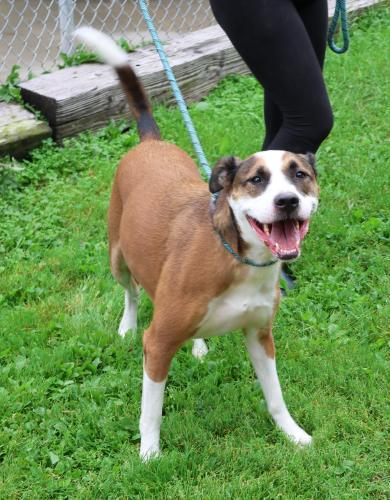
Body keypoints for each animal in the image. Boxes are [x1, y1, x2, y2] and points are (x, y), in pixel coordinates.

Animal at [74, 26, 320, 458]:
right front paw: (149, 456)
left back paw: (200, 345)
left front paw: (292, 434)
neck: (238, 259)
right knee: (131, 293)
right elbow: (150, 412)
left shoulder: (261, 335)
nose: (287, 201)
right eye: (257, 179)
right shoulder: (156, 344)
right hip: (117, 257)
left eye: (300, 175)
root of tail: (150, 141)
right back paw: (126, 326)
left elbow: (275, 397)